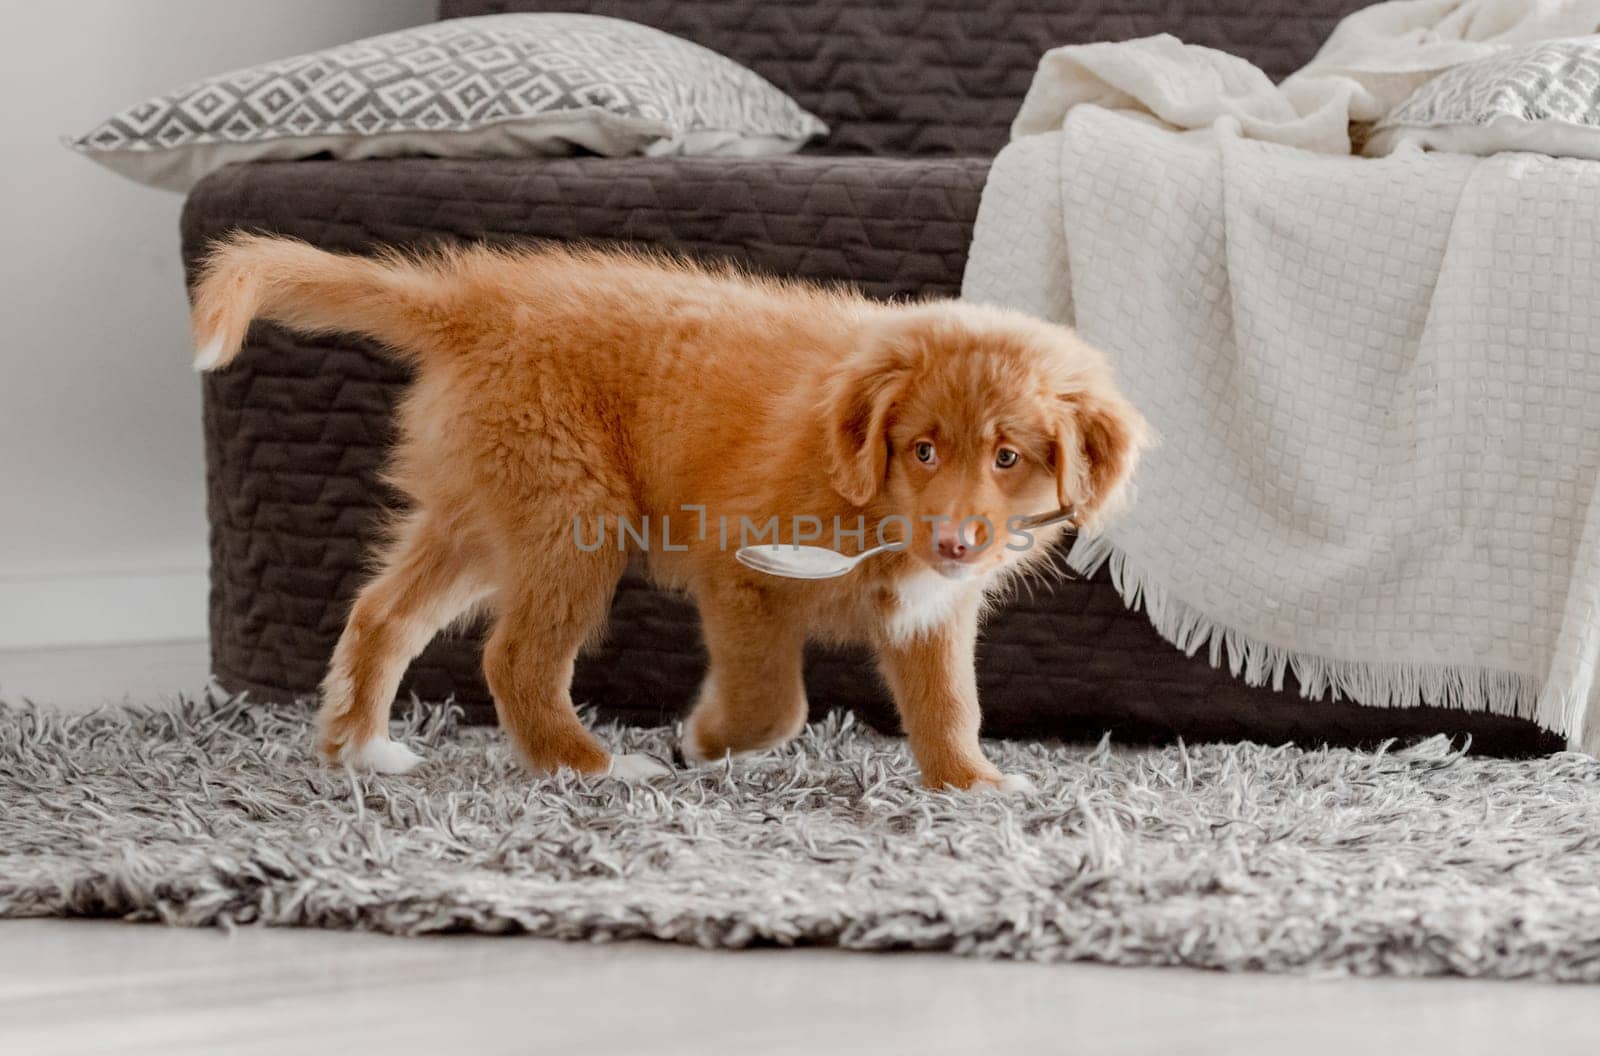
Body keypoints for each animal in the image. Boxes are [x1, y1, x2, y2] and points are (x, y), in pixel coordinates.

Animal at [190, 233, 1152, 793]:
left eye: (1007, 457)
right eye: (921, 449)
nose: (953, 541)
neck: (872, 500)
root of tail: (474, 303)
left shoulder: (932, 613)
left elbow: (951, 703)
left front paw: (971, 783)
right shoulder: (742, 573)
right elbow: (775, 700)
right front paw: (709, 740)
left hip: (480, 514)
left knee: (381, 614)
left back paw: (362, 751)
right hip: (572, 516)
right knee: (514, 658)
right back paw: (597, 768)